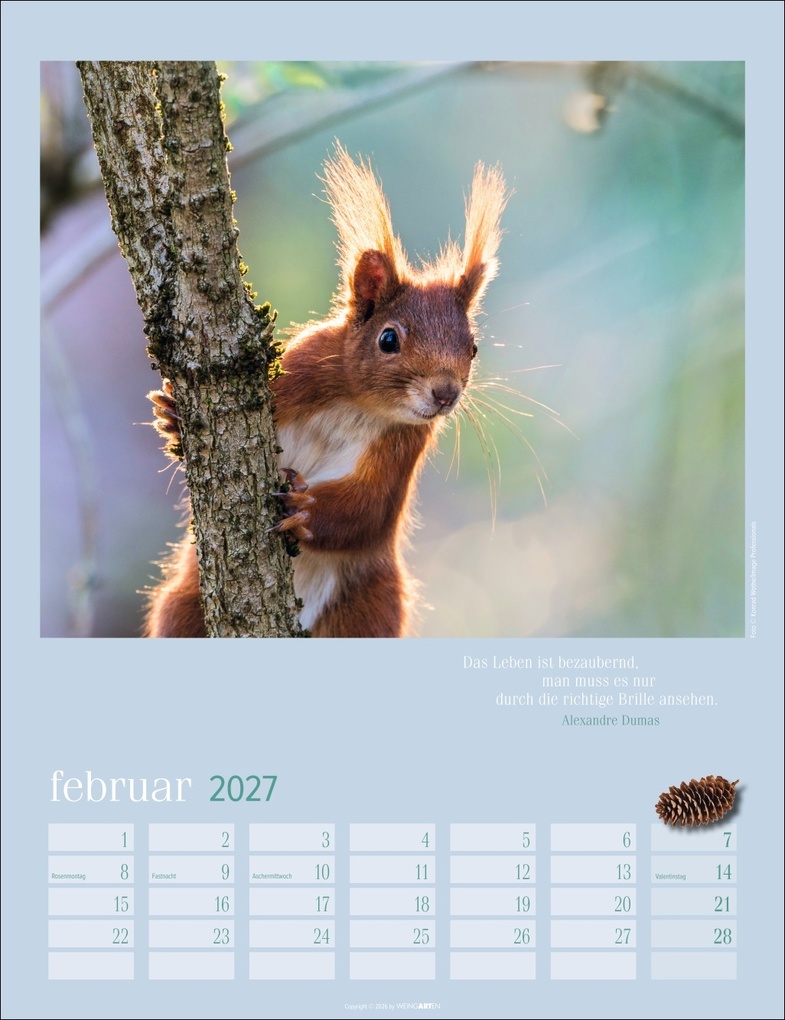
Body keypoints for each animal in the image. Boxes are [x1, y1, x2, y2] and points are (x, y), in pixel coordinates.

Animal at [144, 146, 509, 638]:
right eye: (388, 339)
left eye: (473, 347)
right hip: (184, 605)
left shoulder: (403, 448)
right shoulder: (294, 375)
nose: (446, 394)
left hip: (370, 610)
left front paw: (305, 509)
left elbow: (369, 509)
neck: (359, 405)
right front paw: (172, 416)